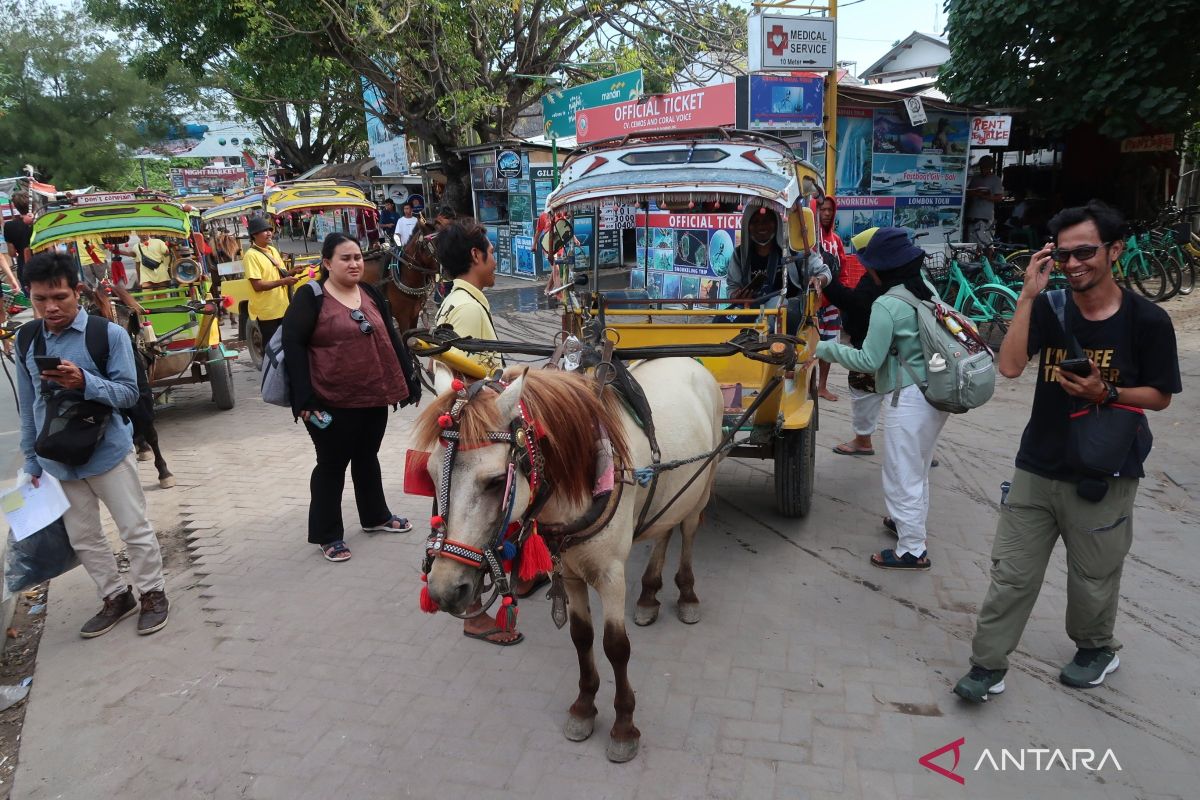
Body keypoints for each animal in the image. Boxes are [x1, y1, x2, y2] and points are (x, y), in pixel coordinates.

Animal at [415, 359, 720, 762]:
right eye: (430, 473)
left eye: (495, 481)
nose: (445, 589)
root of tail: (689, 361)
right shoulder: (570, 573)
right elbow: (581, 636)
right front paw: (584, 707)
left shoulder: (611, 576)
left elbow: (615, 646)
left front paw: (624, 725)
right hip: (670, 491)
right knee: (664, 529)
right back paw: (648, 595)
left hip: (702, 484)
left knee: (687, 530)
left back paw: (686, 594)